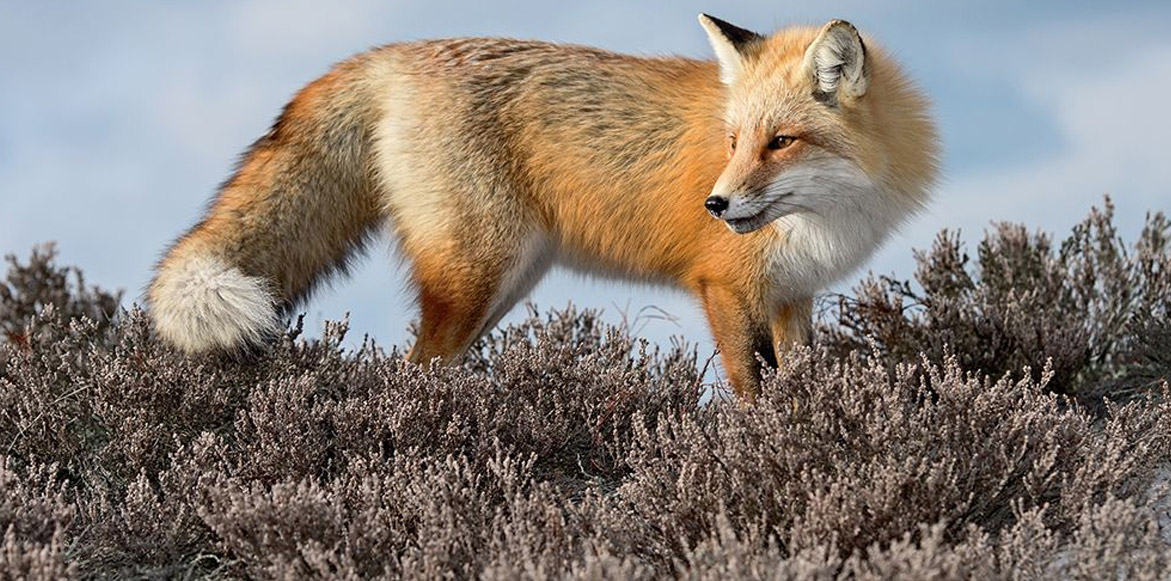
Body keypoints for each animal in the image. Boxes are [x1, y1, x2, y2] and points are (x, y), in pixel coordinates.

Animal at [148, 15, 939, 398]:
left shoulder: (792, 297)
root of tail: (390, 54)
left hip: (504, 285)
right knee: (412, 373)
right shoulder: (722, 286)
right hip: (475, 275)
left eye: (780, 142)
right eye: (733, 139)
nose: (715, 204)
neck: (826, 219)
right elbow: (754, 396)